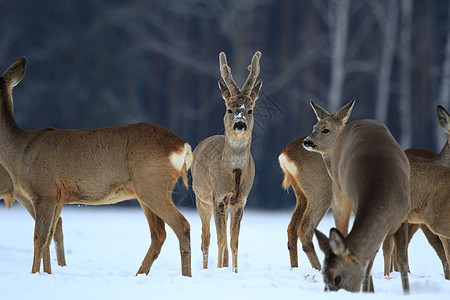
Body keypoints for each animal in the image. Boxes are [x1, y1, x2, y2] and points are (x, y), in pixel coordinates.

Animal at [0, 56, 192, 276]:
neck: (20, 152)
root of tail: (183, 145)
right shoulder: (58, 197)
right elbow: (49, 236)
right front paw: (47, 274)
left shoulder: (44, 192)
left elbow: (38, 238)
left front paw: (34, 275)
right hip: (144, 192)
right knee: (159, 234)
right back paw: (139, 274)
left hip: (153, 185)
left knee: (182, 225)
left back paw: (185, 276)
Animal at [191, 51, 262, 272]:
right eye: (230, 109)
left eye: (250, 110)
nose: (240, 124)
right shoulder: (218, 197)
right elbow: (220, 239)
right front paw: (217, 271)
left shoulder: (240, 200)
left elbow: (234, 241)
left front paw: (234, 272)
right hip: (200, 198)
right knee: (205, 238)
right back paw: (206, 269)